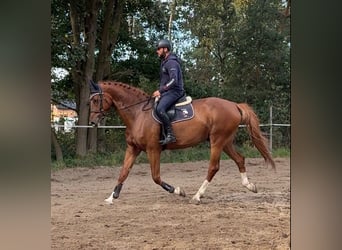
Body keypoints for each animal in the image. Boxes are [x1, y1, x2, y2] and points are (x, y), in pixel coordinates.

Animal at [88, 81, 276, 204]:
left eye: (96, 100)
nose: (92, 122)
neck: (138, 113)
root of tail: (234, 105)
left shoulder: (153, 149)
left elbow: (156, 177)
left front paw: (178, 191)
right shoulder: (133, 148)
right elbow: (123, 172)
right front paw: (111, 197)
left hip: (217, 141)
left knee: (213, 167)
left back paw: (197, 196)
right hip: (226, 141)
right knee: (240, 159)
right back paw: (249, 186)